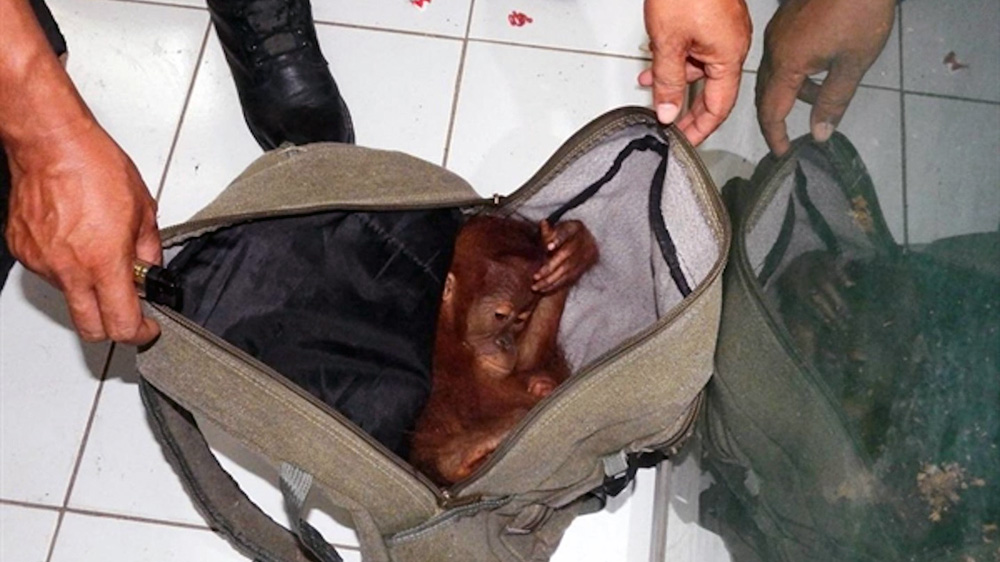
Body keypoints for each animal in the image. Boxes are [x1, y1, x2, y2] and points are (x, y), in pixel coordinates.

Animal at [409, 215, 599, 486]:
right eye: (500, 315)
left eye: (520, 319)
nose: (506, 344)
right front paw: (460, 454)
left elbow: (527, 362)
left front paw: (568, 252)